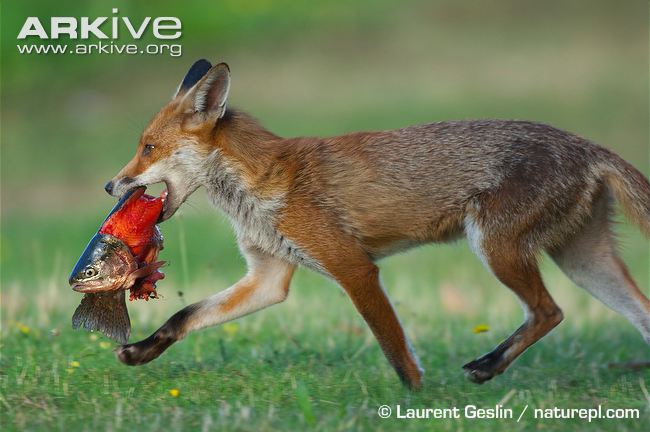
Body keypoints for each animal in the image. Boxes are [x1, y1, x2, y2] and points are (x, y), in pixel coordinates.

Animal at [106, 58, 648, 388]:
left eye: (148, 148)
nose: (111, 186)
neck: (259, 187)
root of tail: (587, 146)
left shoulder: (354, 268)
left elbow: (395, 349)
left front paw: (416, 399)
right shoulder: (268, 278)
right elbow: (185, 315)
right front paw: (142, 351)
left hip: (497, 248)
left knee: (549, 312)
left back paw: (488, 366)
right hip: (582, 261)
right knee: (632, 314)